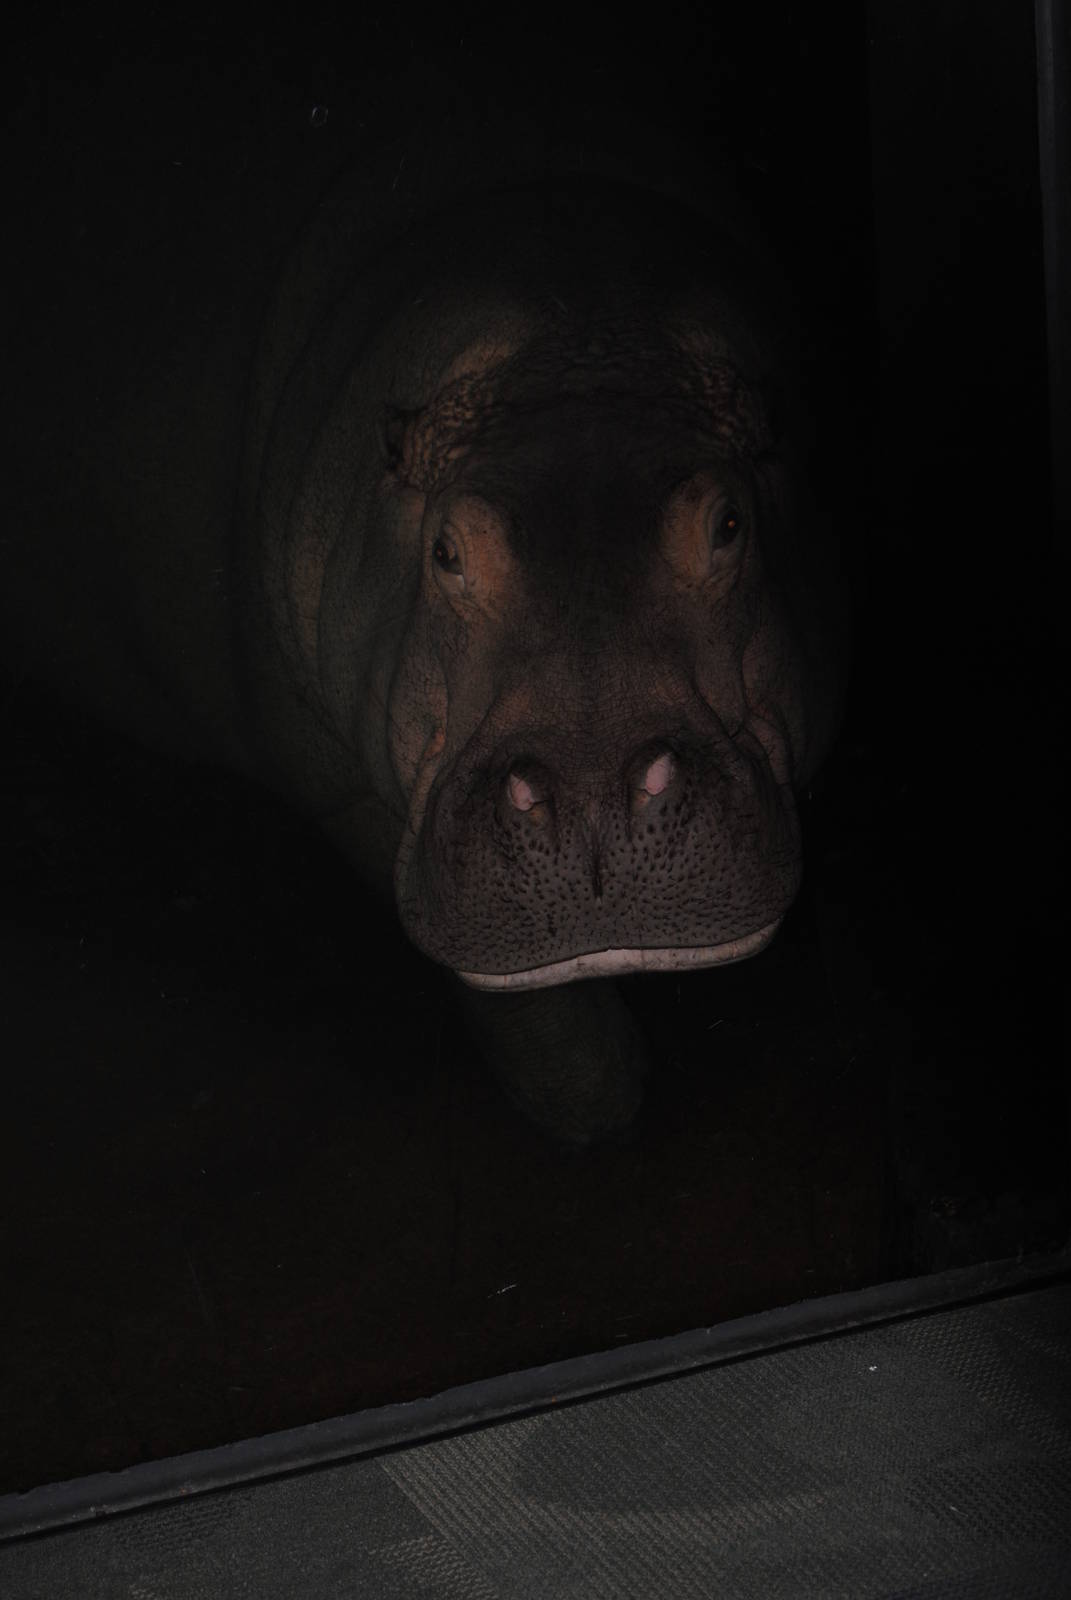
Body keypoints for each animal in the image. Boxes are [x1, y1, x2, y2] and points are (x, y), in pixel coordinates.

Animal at [5, 65, 848, 1144]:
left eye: (729, 522)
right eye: (449, 548)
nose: (593, 799)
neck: (580, 334)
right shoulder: (346, 784)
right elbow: (528, 1008)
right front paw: (598, 1109)